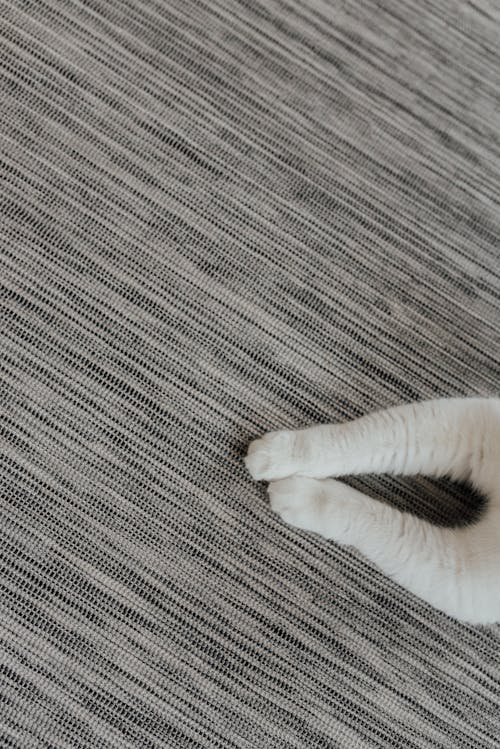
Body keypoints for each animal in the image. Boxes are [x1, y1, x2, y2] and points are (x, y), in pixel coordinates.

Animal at [246, 398, 500, 624]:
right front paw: (278, 454)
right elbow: (356, 440)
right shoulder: (469, 422)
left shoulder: (467, 578)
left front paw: (302, 496)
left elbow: (380, 523)